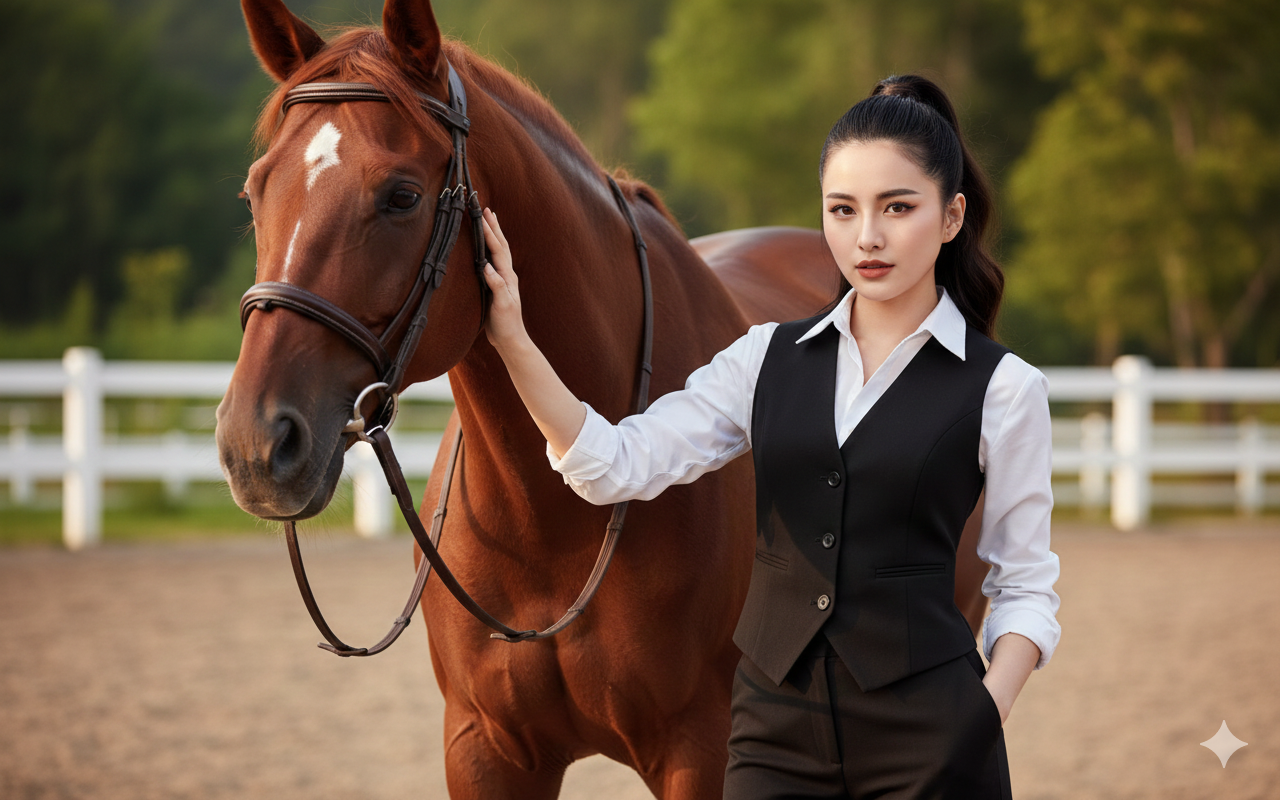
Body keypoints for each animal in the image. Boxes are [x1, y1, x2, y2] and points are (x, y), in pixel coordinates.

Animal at [218, 0, 754, 796]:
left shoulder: (702, 748)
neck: (559, 521)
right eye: (255, 193)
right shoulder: (484, 747)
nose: (255, 444)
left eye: (402, 197)